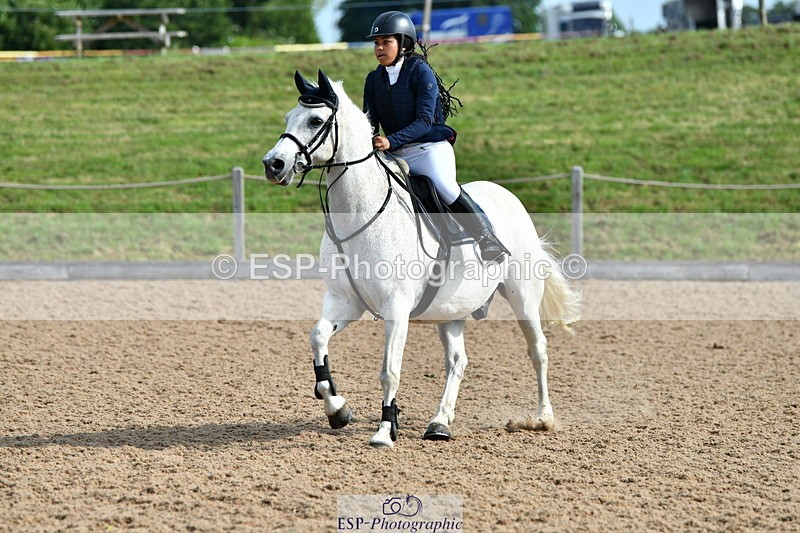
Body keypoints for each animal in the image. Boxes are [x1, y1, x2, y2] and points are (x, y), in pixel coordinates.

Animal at [262, 70, 581, 448]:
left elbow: (389, 370)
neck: (358, 216)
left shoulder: (396, 307)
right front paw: (337, 408)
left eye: (315, 120)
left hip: (523, 298)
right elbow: (318, 339)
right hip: (452, 311)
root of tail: (508, 196)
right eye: (288, 118)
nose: (273, 165)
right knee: (457, 361)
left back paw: (542, 418)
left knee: (538, 350)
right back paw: (440, 422)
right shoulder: (344, 301)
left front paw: (385, 431)